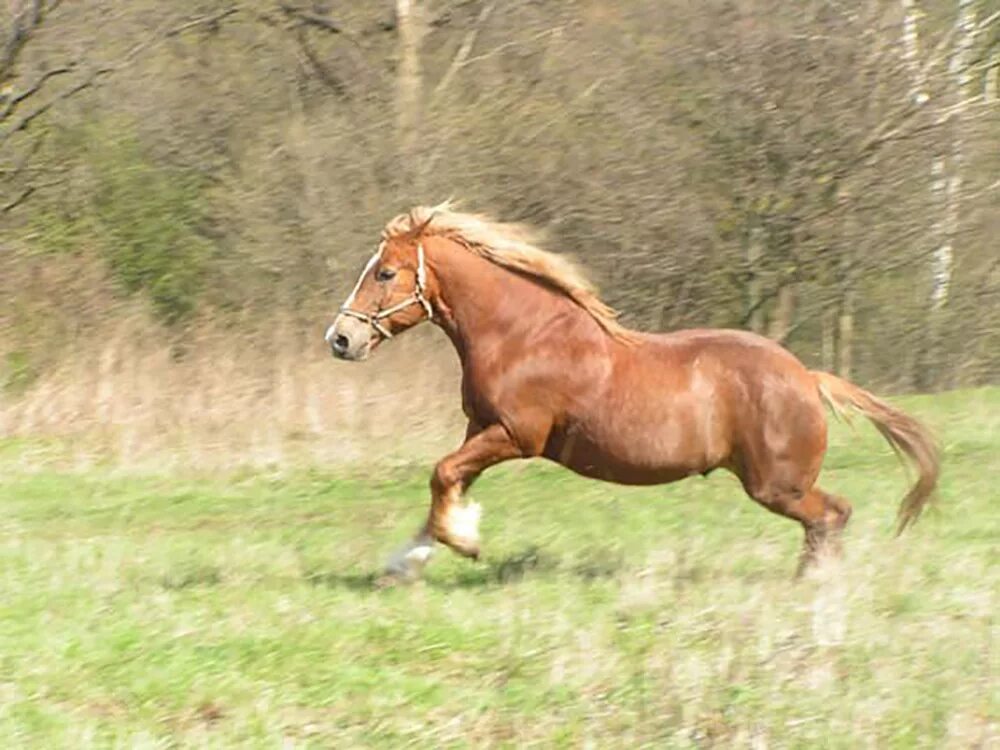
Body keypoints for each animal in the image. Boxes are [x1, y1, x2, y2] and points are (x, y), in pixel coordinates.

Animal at [324, 204, 940, 580]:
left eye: (385, 273)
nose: (341, 338)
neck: (523, 335)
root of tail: (809, 378)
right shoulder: (481, 429)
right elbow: (444, 485)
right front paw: (405, 564)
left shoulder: (516, 436)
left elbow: (442, 475)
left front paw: (465, 543)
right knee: (829, 518)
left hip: (776, 484)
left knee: (832, 514)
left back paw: (812, 587)